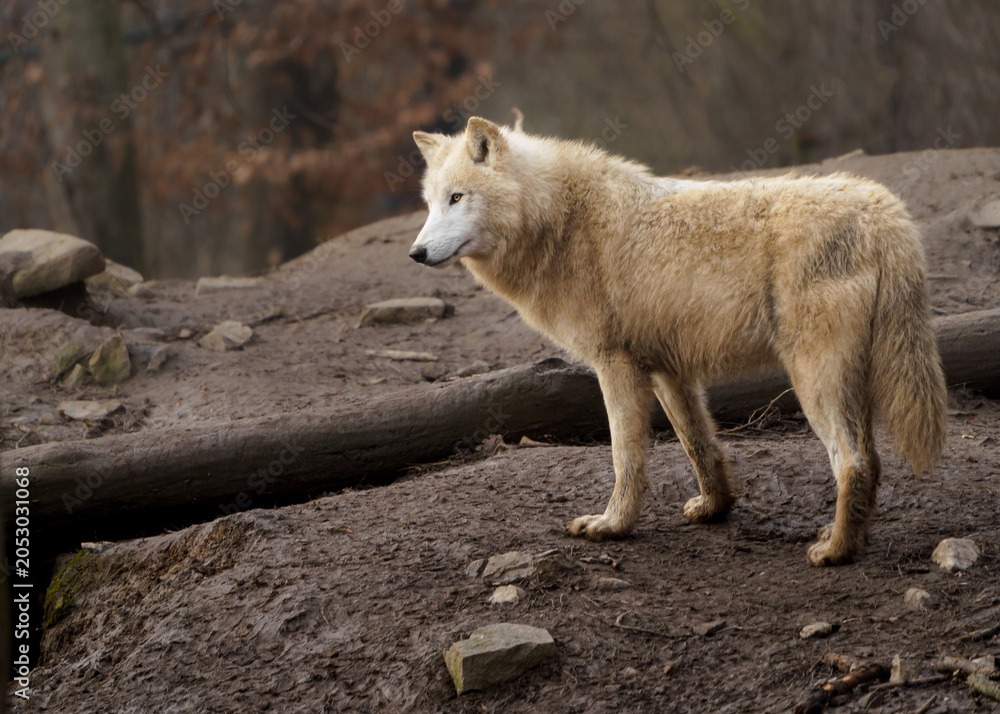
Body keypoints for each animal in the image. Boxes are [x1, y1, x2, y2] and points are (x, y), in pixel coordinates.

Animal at [408, 116, 947, 566]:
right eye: (431, 203)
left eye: (457, 198)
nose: (416, 253)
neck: (560, 222)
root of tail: (883, 210)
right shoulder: (669, 369)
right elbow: (699, 445)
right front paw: (715, 509)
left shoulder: (615, 365)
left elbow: (625, 458)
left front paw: (612, 525)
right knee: (872, 460)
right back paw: (850, 541)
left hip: (815, 382)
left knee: (852, 463)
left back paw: (834, 552)